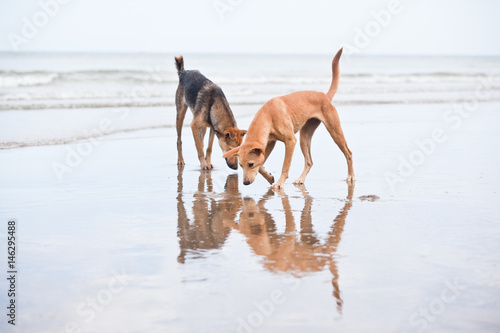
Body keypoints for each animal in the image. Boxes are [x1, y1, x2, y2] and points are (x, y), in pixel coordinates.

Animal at [225, 49, 354, 189]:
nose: (245, 183)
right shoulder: (269, 143)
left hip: (334, 131)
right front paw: (269, 177)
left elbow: (285, 166)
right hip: (304, 137)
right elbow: (261, 165)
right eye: (241, 165)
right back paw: (301, 179)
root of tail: (324, 96)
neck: (268, 116)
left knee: (348, 153)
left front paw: (279, 183)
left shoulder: (290, 141)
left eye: (250, 164)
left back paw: (351, 176)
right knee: (309, 162)